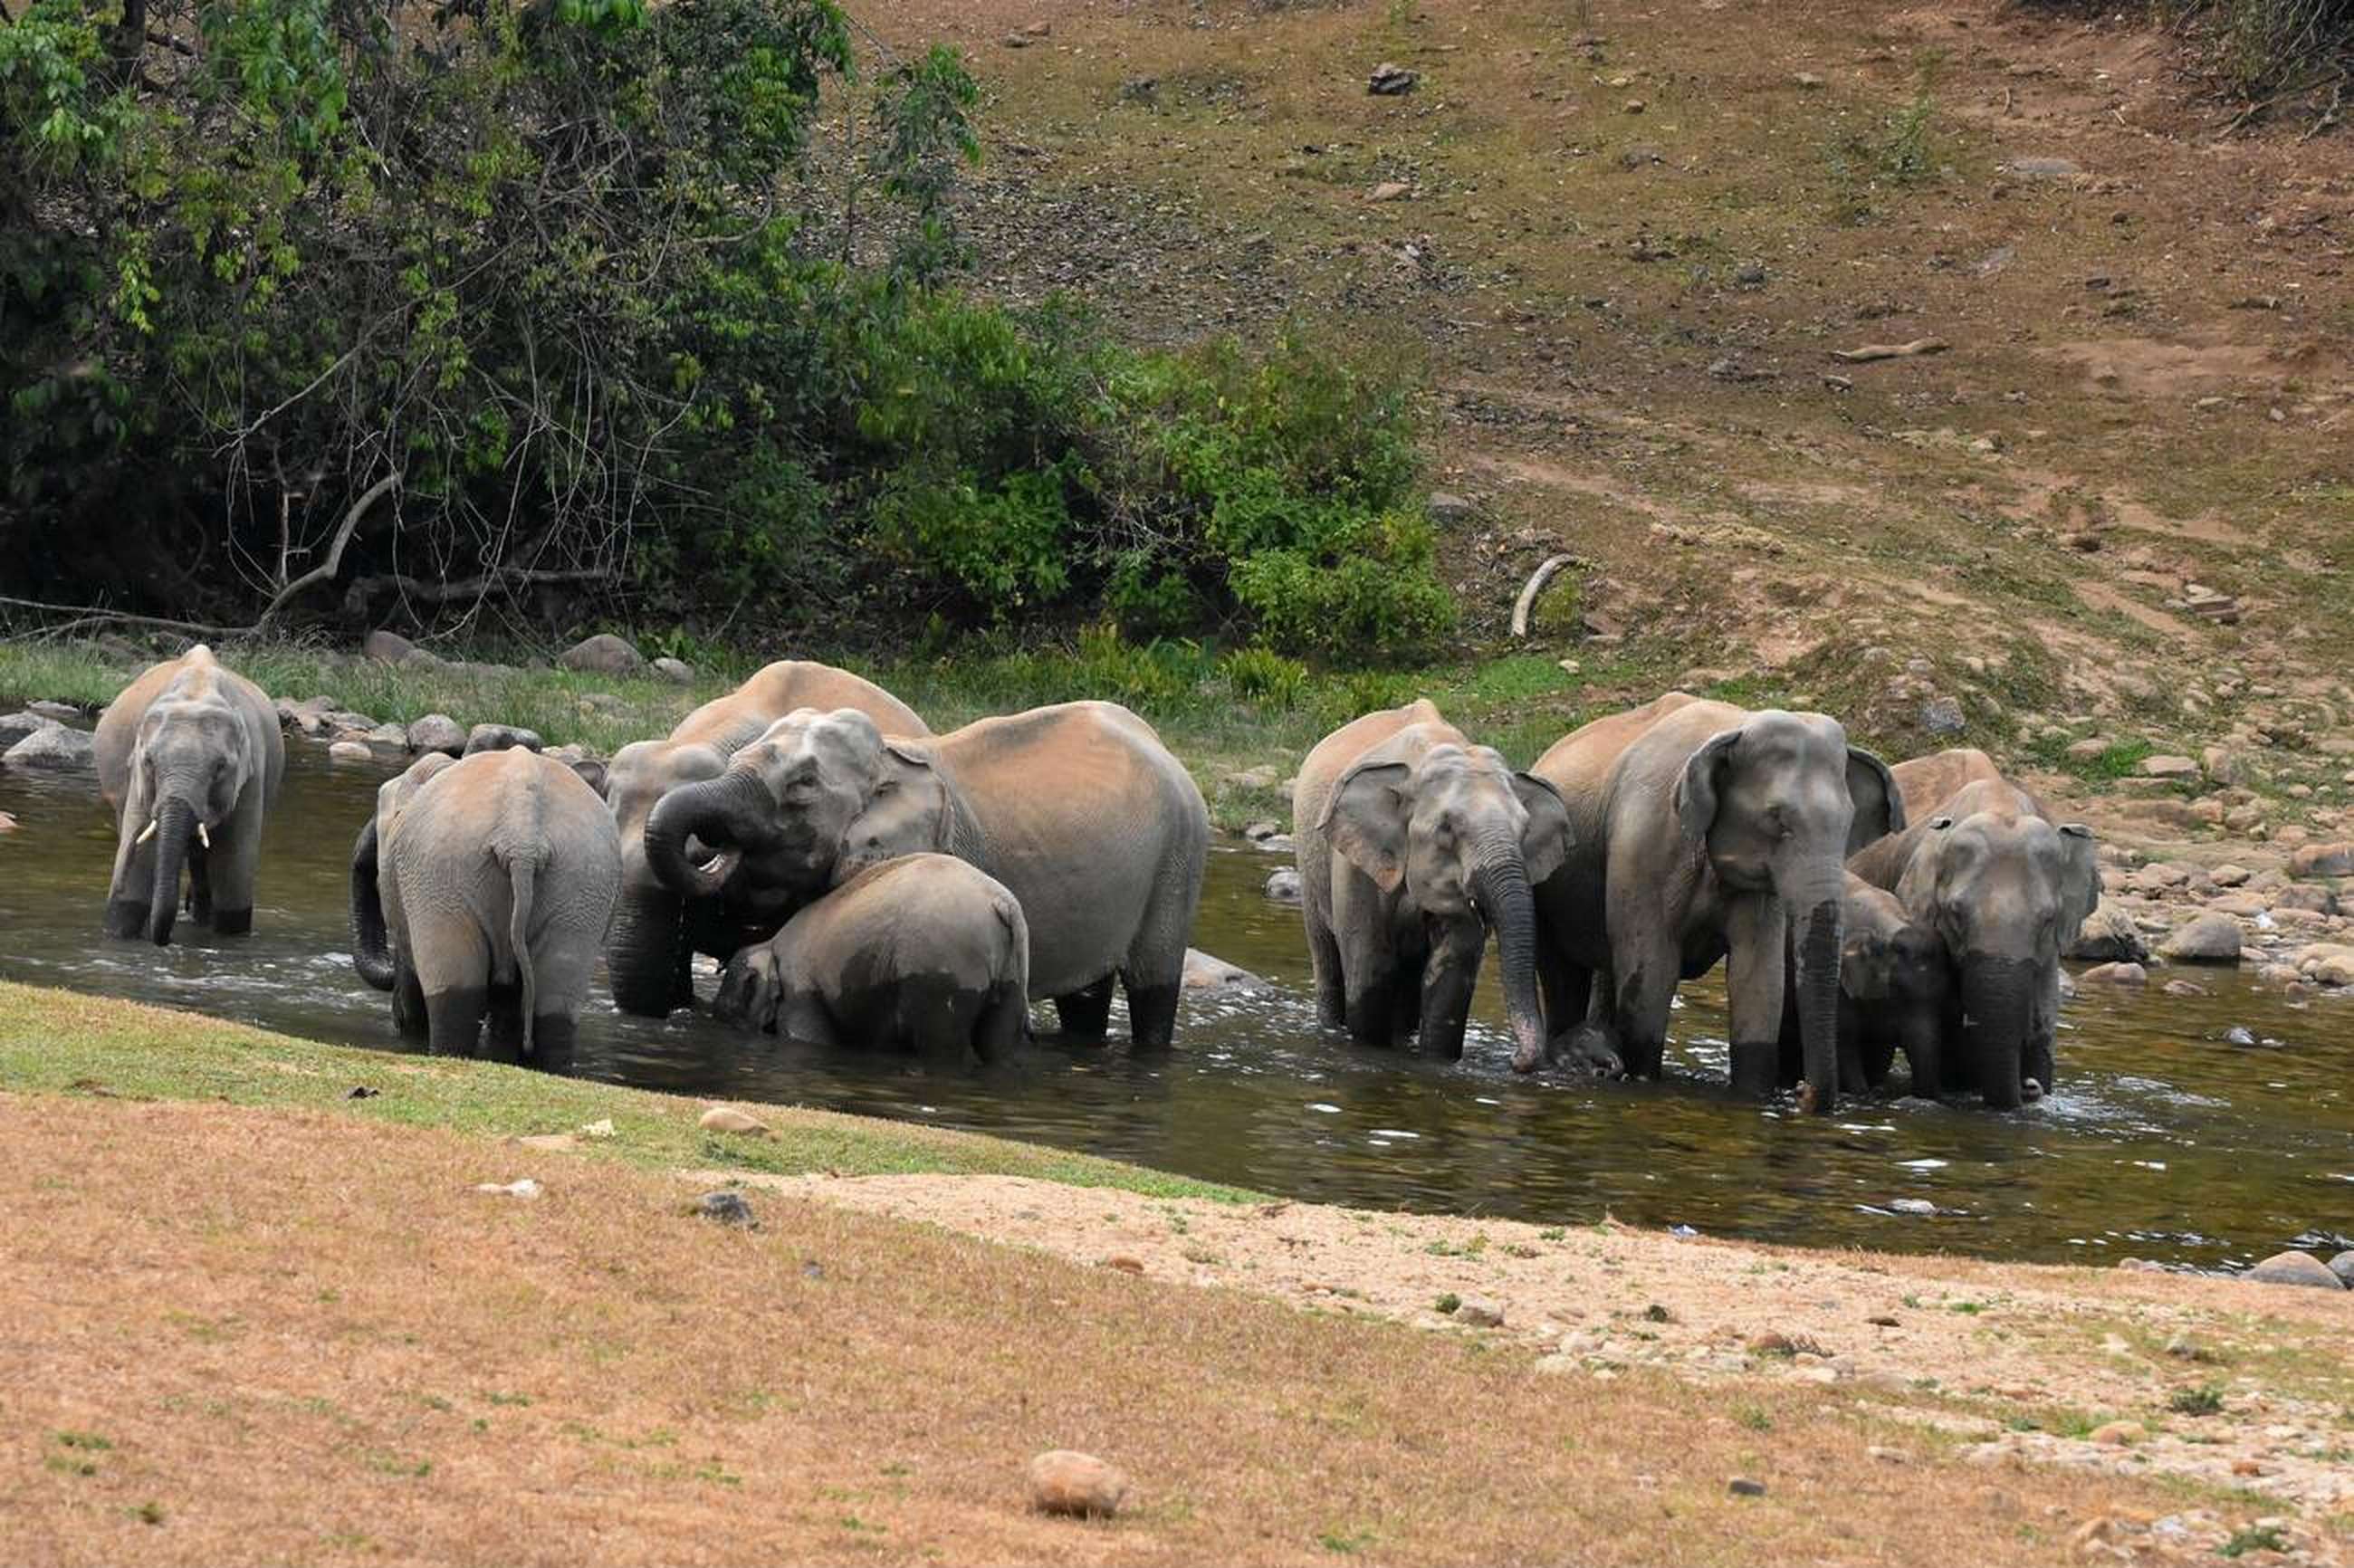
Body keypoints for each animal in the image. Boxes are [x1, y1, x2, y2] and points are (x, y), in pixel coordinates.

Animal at [94, 645, 286, 945]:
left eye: (220, 768)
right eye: (149, 762)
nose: (163, 942)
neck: (197, 689)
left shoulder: (253, 773)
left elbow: (233, 863)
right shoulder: (136, 774)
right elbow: (139, 850)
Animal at [712, 852, 1030, 1060]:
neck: (769, 944)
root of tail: (1002, 903)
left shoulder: (799, 991)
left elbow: (808, 1038)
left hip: (942, 973)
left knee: (941, 1046)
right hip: (1013, 974)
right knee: (997, 1045)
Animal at [1291, 699, 1590, 1072]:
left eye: (1525, 828)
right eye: (1446, 828)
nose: (1516, 1059)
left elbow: (1451, 972)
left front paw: (1436, 1063)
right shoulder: (1354, 865)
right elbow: (1372, 966)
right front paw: (1369, 1053)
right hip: (1310, 866)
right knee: (1328, 961)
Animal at [1529, 693, 1903, 1111]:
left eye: (1849, 823)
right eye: (1777, 820)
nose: (1800, 1090)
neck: (1736, 724)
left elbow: (1758, 978)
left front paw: (1754, 1097)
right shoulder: (1644, 844)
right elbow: (1652, 971)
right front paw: (1642, 1082)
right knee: (1564, 975)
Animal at [1777, 874, 1951, 1098]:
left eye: (1944, 997)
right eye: (1897, 992)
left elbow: (1881, 1042)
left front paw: (1875, 1089)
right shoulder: (1836, 979)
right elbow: (1844, 1036)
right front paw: (1860, 1092)